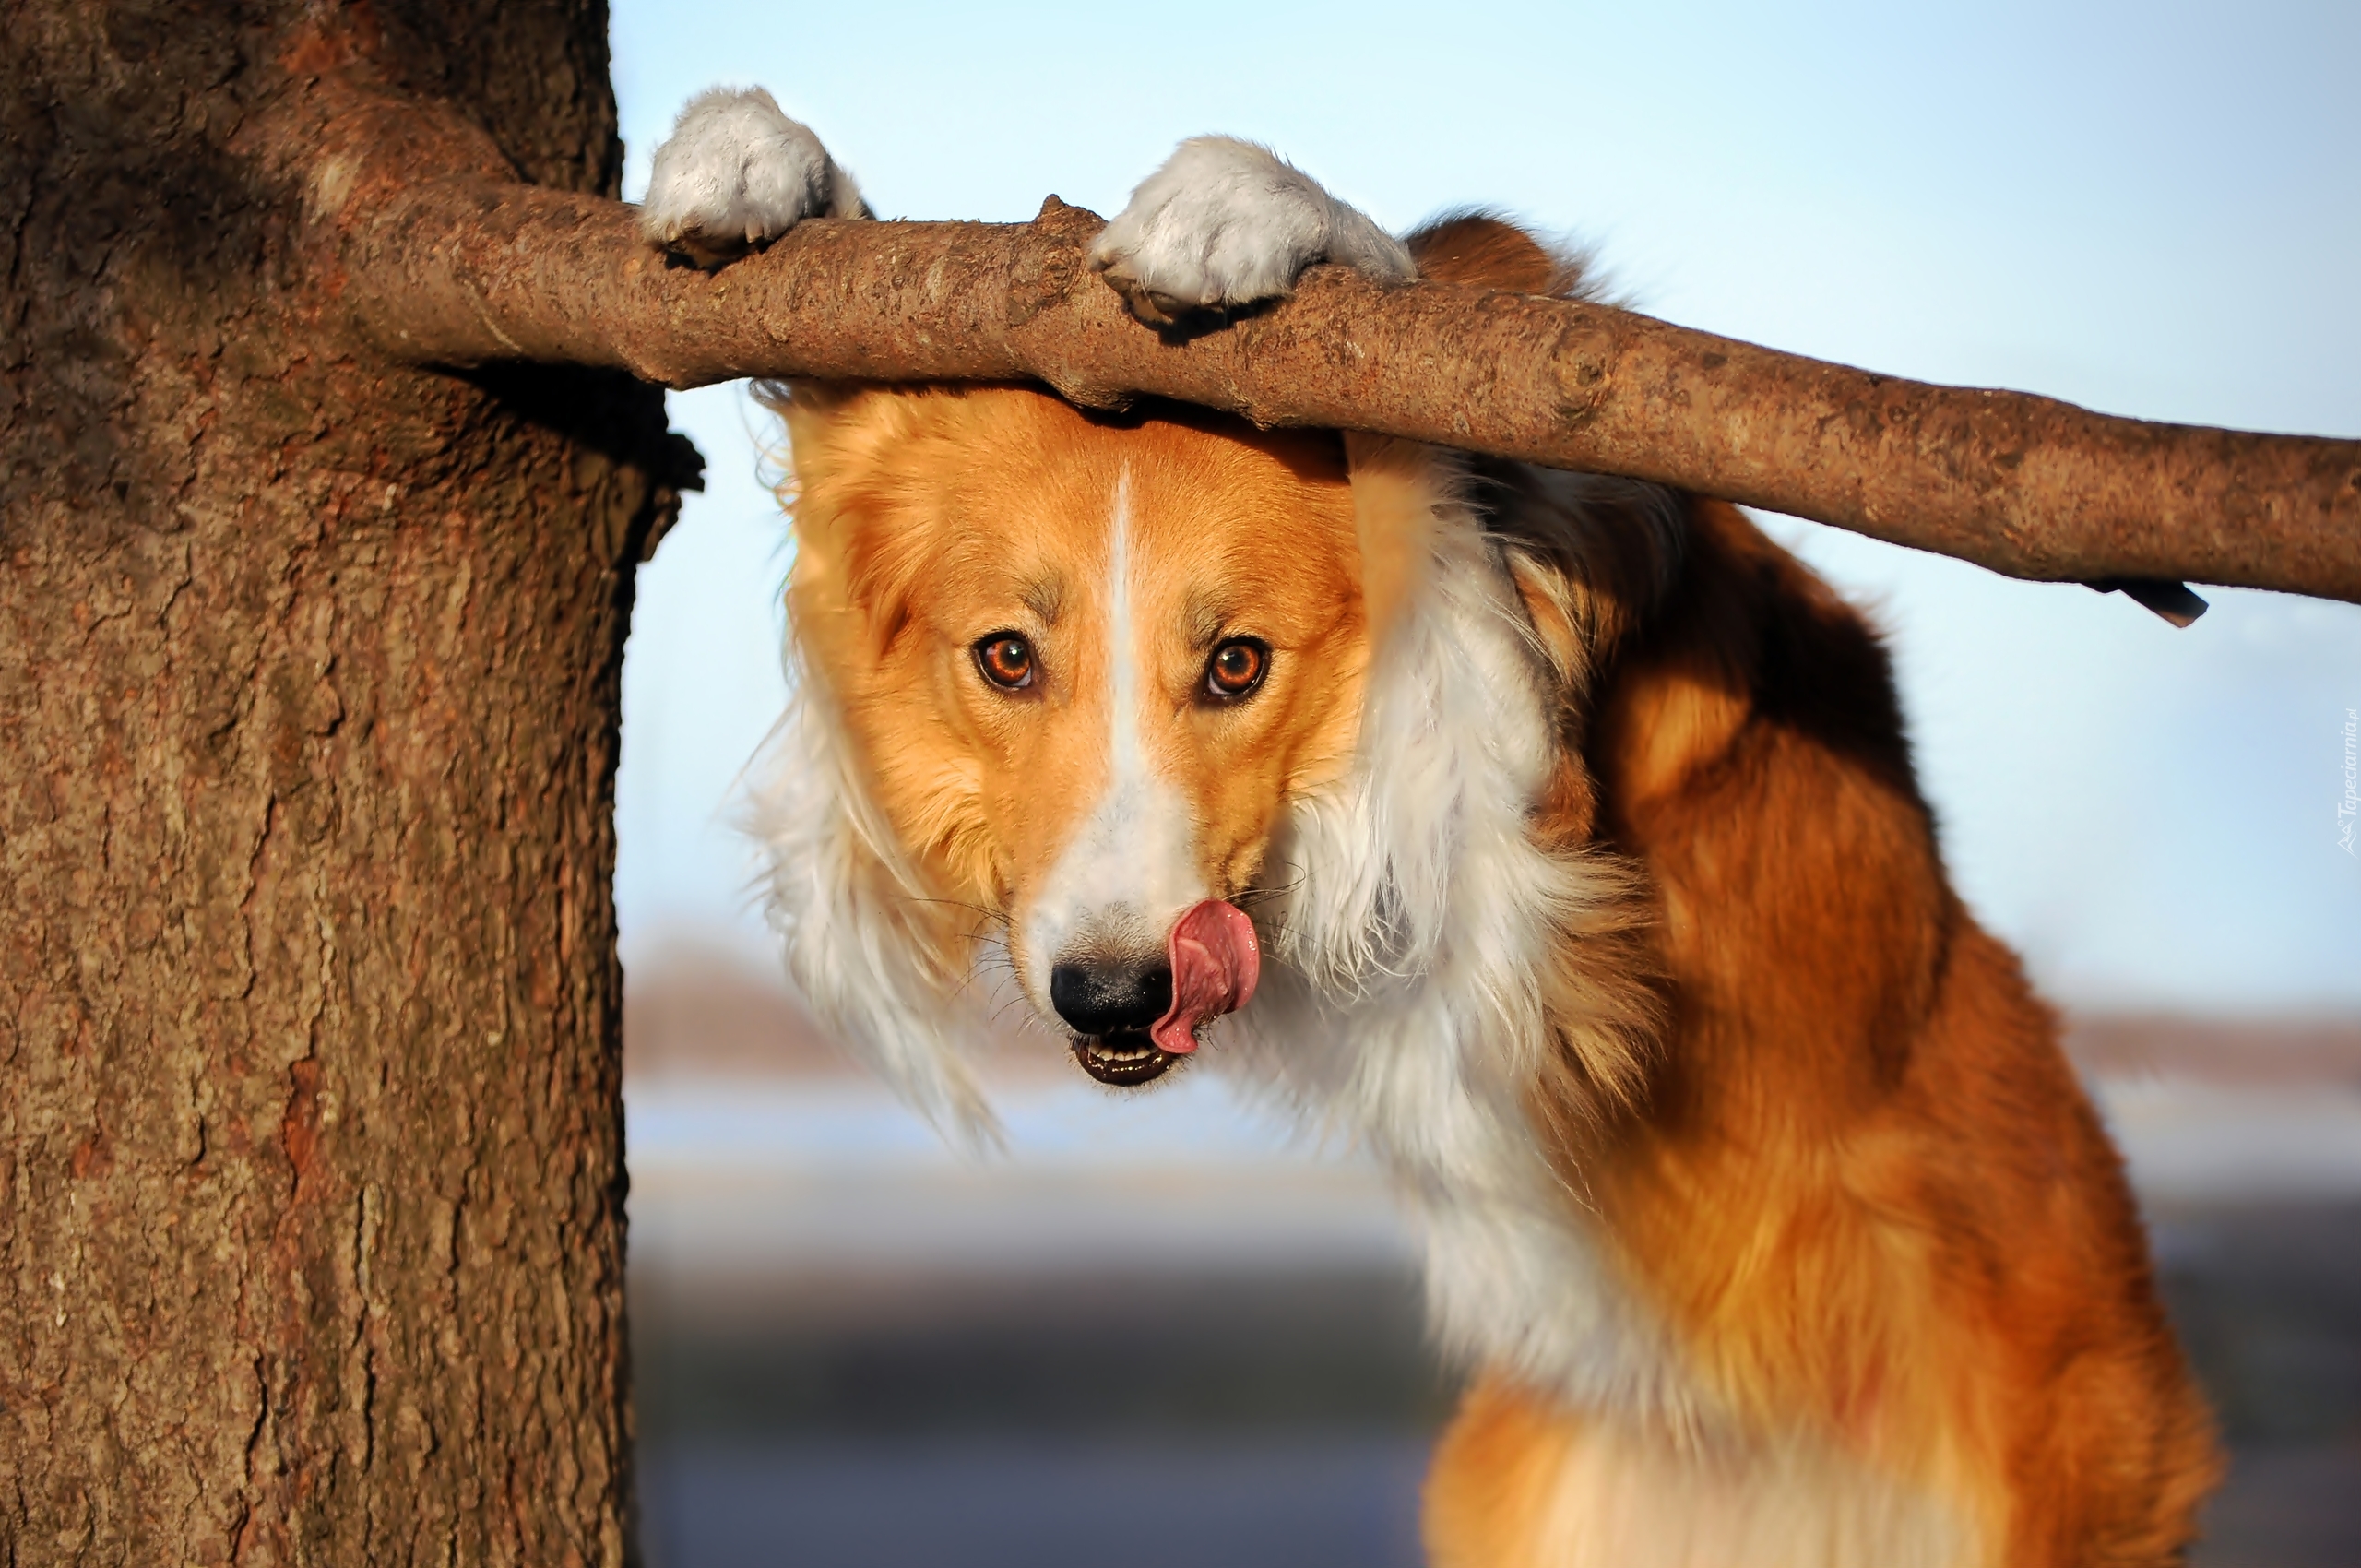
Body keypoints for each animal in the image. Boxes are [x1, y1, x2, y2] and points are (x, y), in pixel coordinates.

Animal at [642, 89, 2210, 1568]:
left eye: (1239, 665)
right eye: (1008, 658)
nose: (1117, 996)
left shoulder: (1541, 842)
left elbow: (1420, 428)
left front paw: (1253, 203)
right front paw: (753, 157)